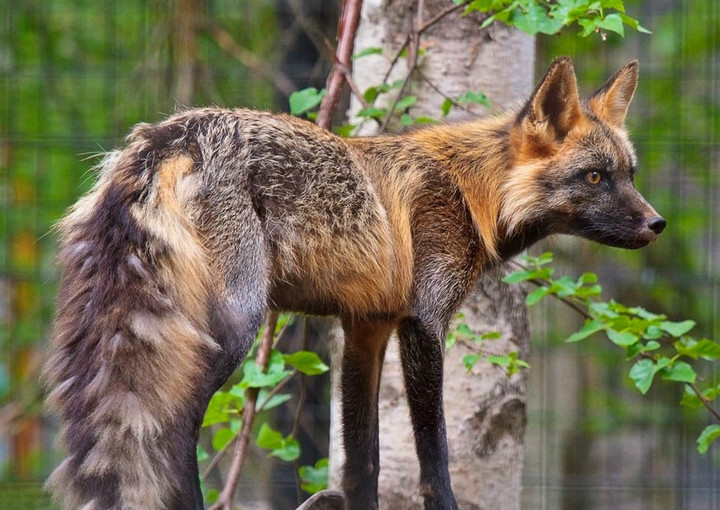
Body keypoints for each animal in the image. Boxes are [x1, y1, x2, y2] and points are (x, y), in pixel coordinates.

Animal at [43, 55, 664, 510]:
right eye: (595, 177)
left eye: (630, 175)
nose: (657, 224)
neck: (472, 193)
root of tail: (170, 135)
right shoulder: (423, 322)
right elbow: (433, 458)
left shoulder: (367, 327)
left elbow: (362, 463)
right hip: (230, 329)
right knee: (169, 429)